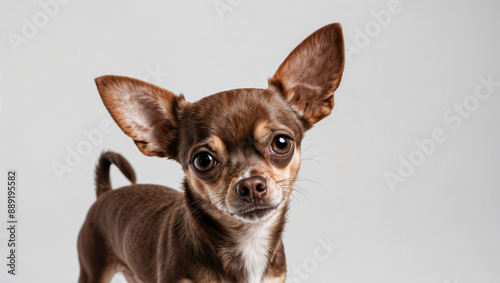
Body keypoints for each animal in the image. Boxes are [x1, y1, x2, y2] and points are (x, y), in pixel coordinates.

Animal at [77, 23, 344, 282]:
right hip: (92, 271)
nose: (251, 185)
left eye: (281, 143)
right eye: (203, 161)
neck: (249, 240)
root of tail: (105, 192)